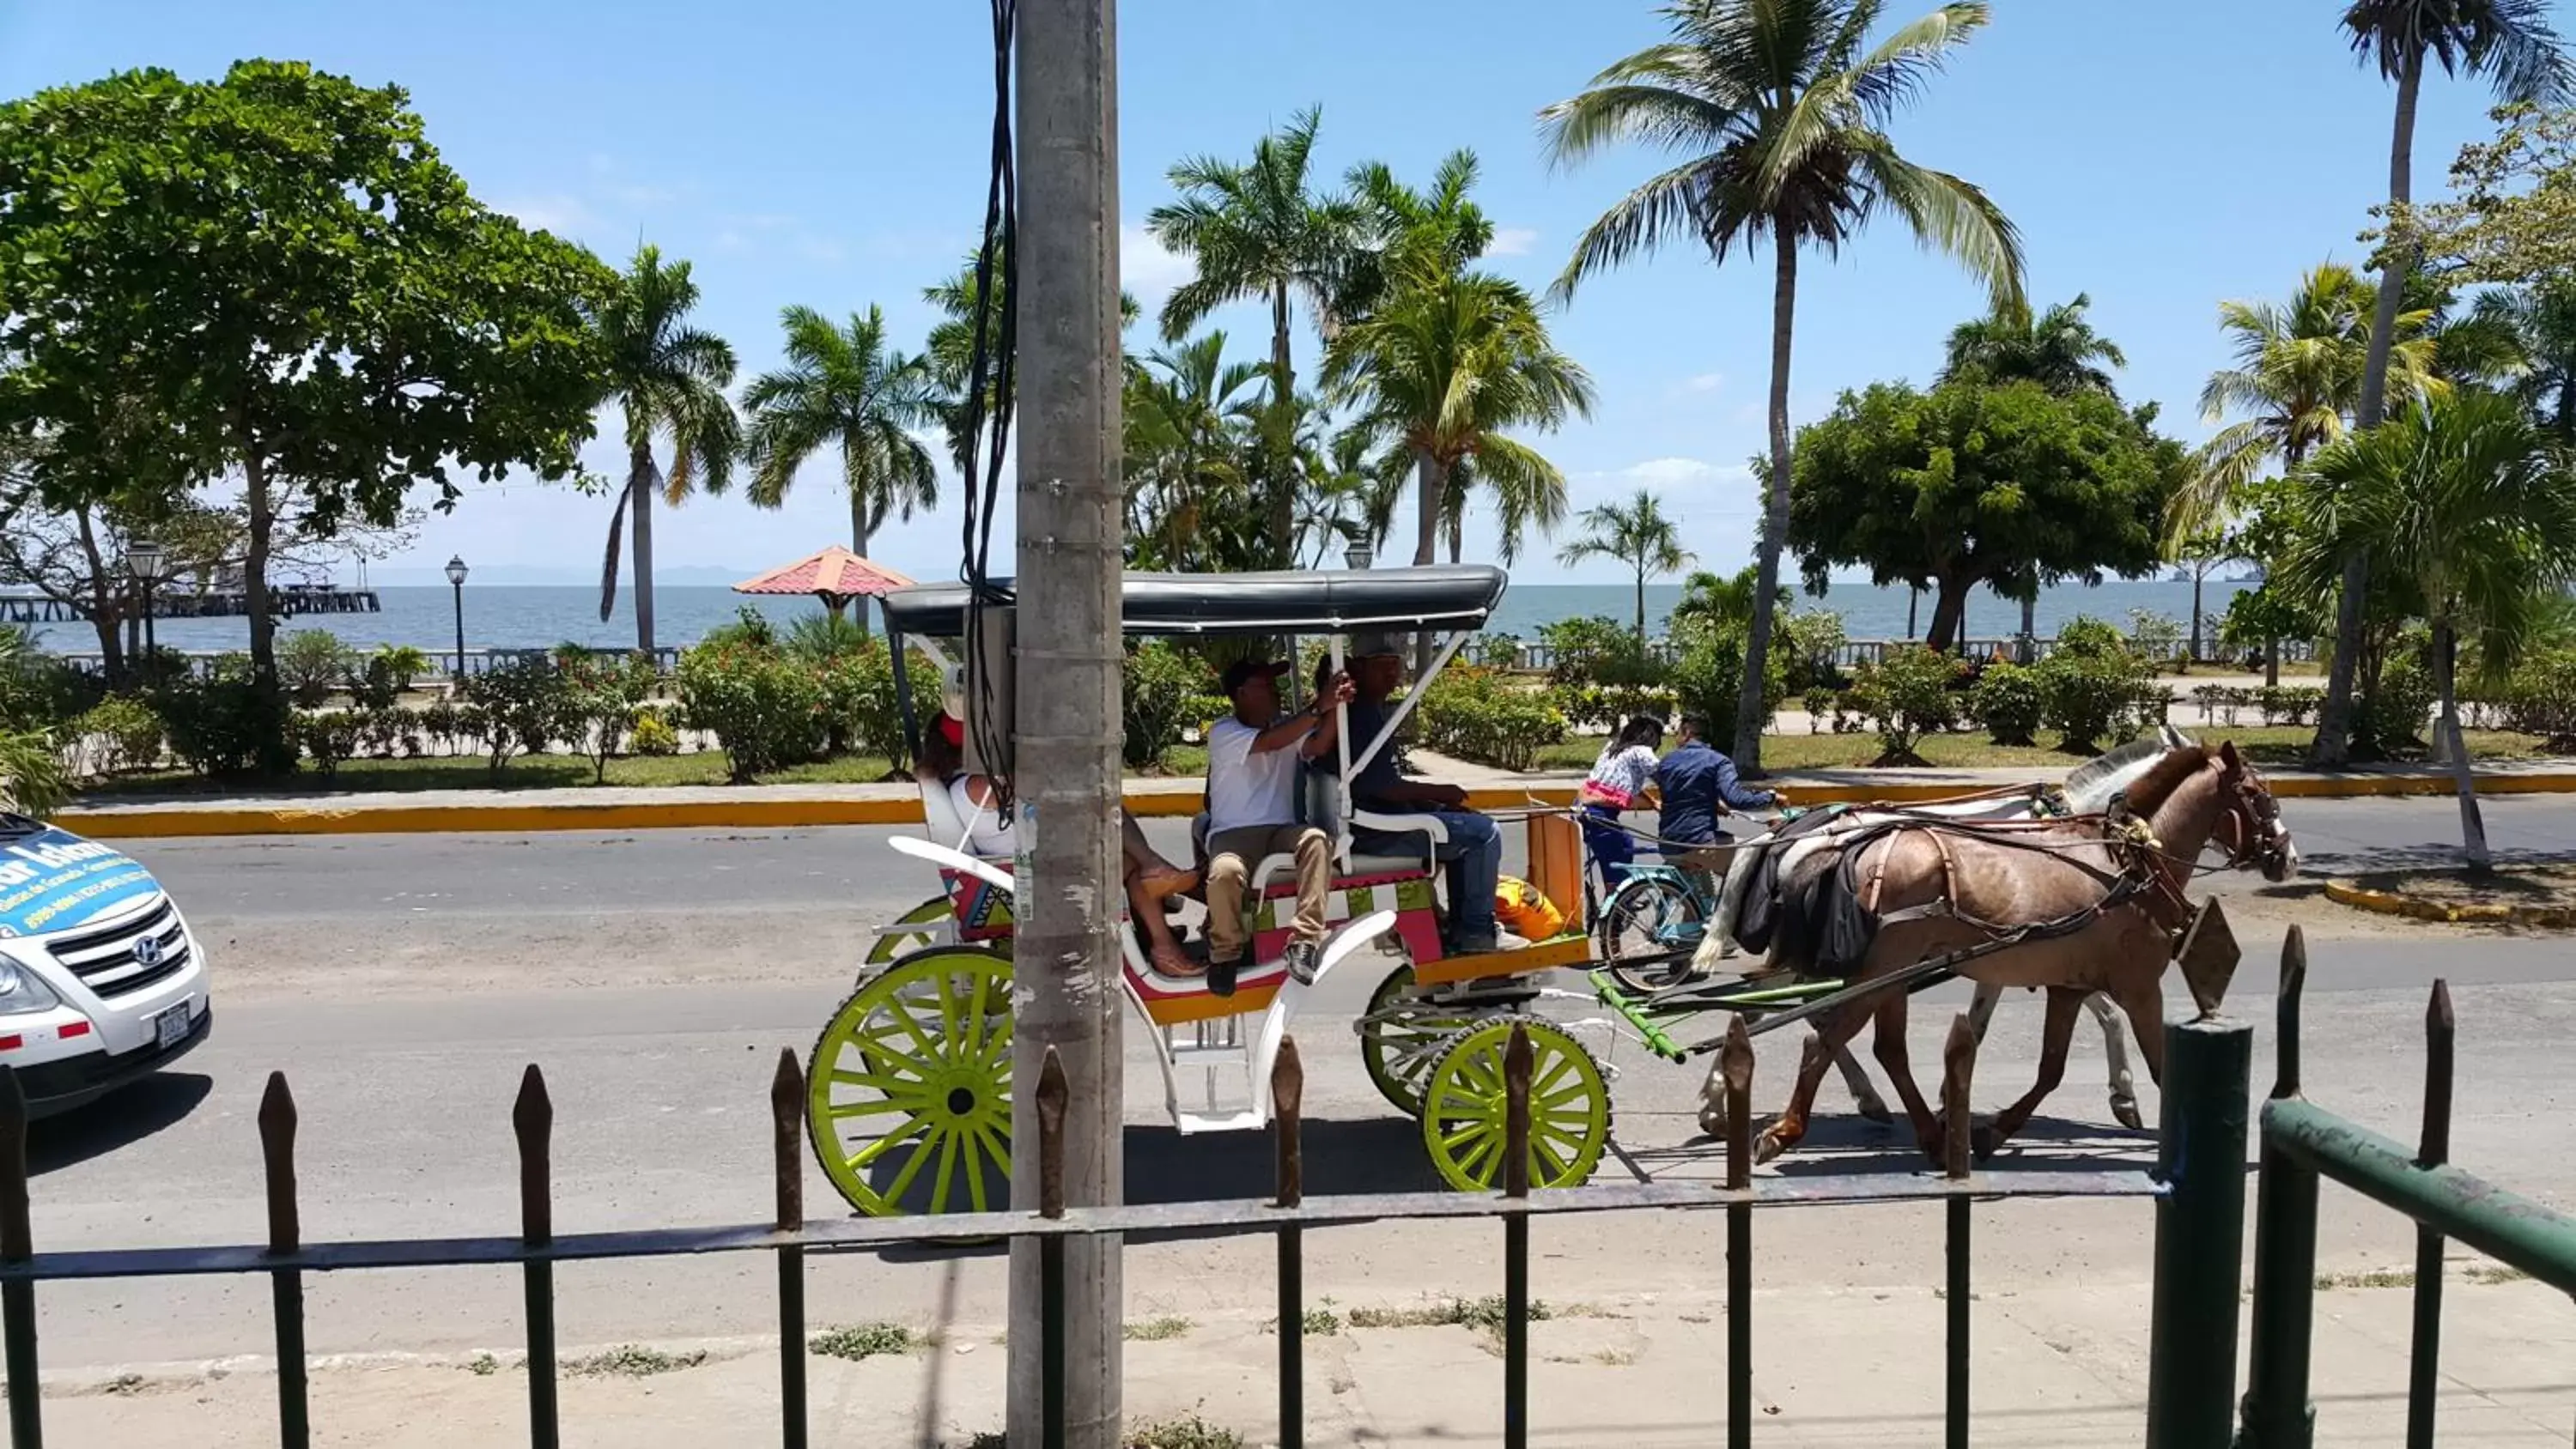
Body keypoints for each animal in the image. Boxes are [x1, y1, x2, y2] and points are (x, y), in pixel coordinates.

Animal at [1690, 731, 2195, 1137]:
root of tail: (1789, 833)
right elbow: (2107, 1013)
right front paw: (2124, 1094)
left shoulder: (2025, 952)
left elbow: (1987, 1021)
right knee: (1780, 1008)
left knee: (1778, 1008)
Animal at [1752, 746, 2298, 1168]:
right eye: (2257, 794)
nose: (2287, 857)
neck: (2128, 859)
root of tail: (1855, 848)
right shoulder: (2140, 987)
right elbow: (2161, 1065)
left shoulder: (2069, 986)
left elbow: (2051, 1068)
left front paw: (1991, 1131)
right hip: (1883, 971)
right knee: (1825, 1037)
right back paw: (1786, 1130)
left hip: (1889, 975)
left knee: (1885, 1048)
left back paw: (1928, 1136)